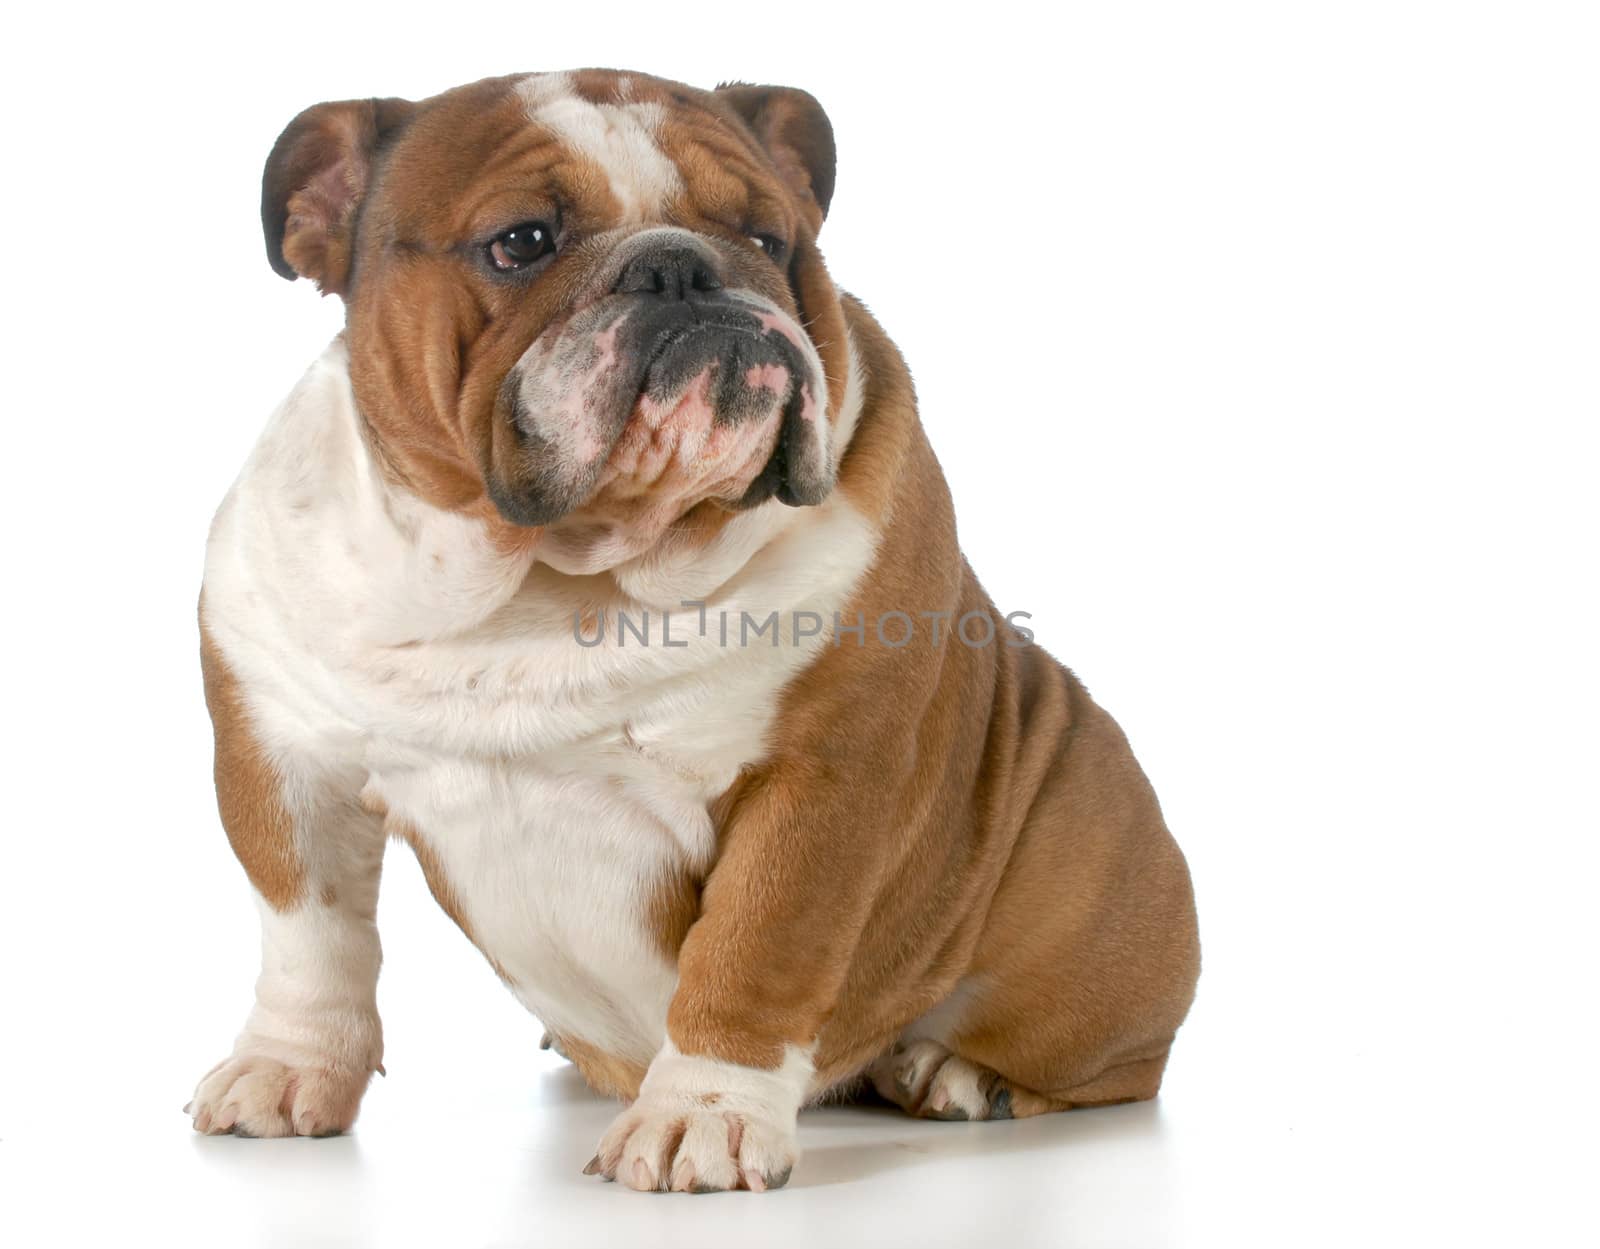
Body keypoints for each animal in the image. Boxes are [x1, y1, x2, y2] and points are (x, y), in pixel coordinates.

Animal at [190, 65, 1203, 1189]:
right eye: (521, 242)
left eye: (767, 236)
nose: (682, 266)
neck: (558, 576)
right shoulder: (283, 754)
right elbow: (312, 935)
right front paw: (287, 1069)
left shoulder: (821, 779)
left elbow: (752, 952)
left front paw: (700, 1118)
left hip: (1084, 888)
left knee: (1111, 1060)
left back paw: (963, 1074)